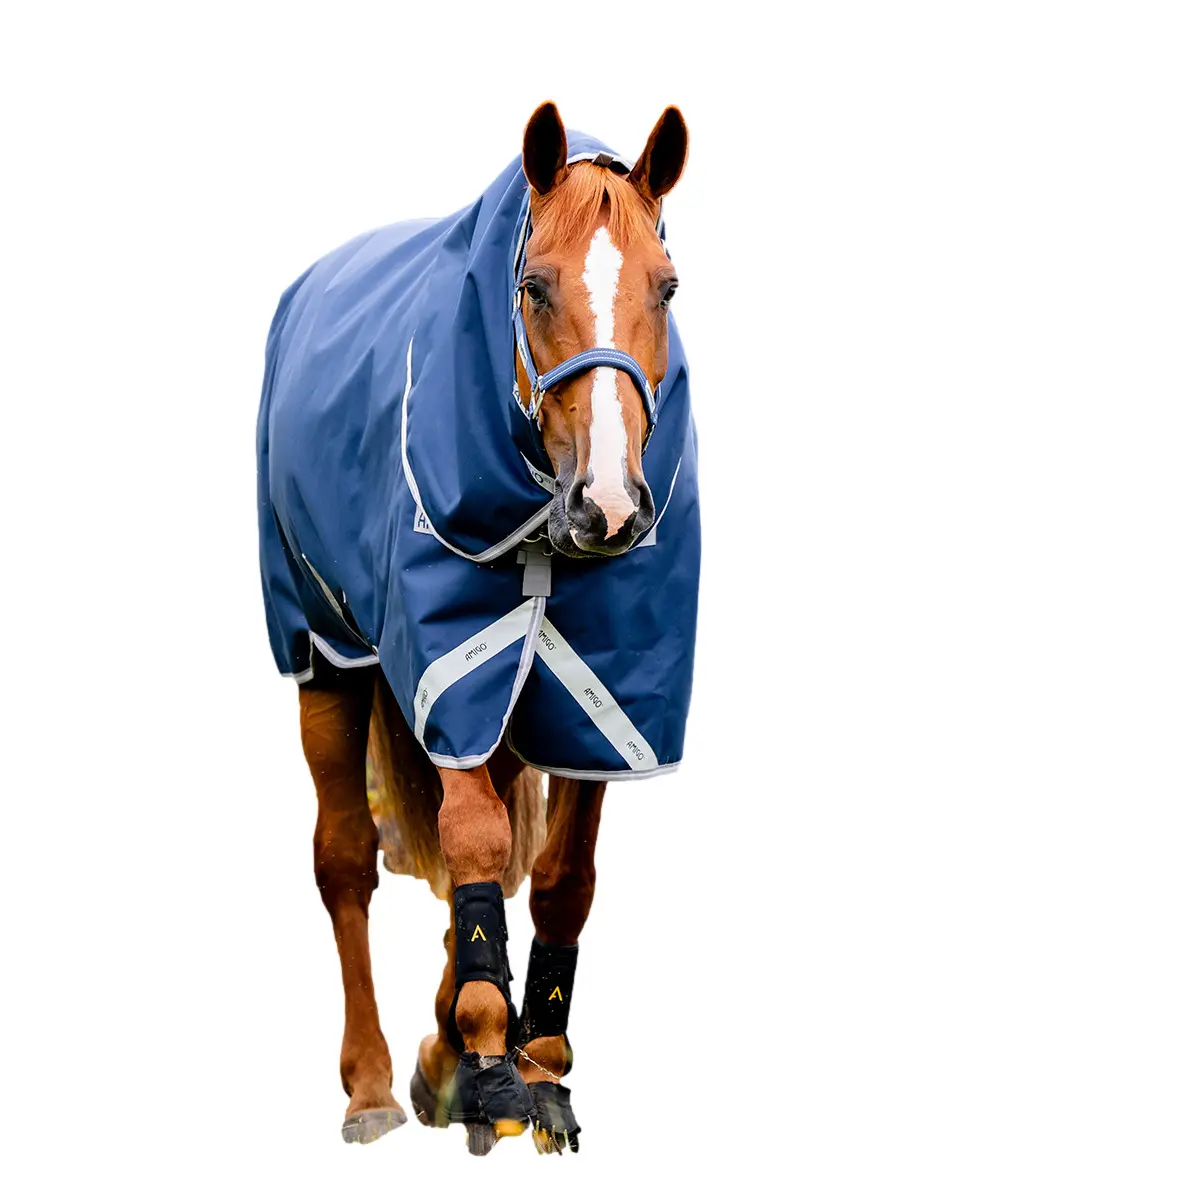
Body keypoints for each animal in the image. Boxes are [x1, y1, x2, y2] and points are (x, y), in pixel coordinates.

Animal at [256, 102, 697, 1155]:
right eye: (533, 285)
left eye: (666, 287)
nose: (610, 507)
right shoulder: (448, 665)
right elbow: (470, 839)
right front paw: (492, 1060)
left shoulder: (601, 699)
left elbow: (561, 875)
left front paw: (536, 1066)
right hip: (324, 652)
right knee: (344, 858)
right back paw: (375, 1083)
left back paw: (438, 1054)